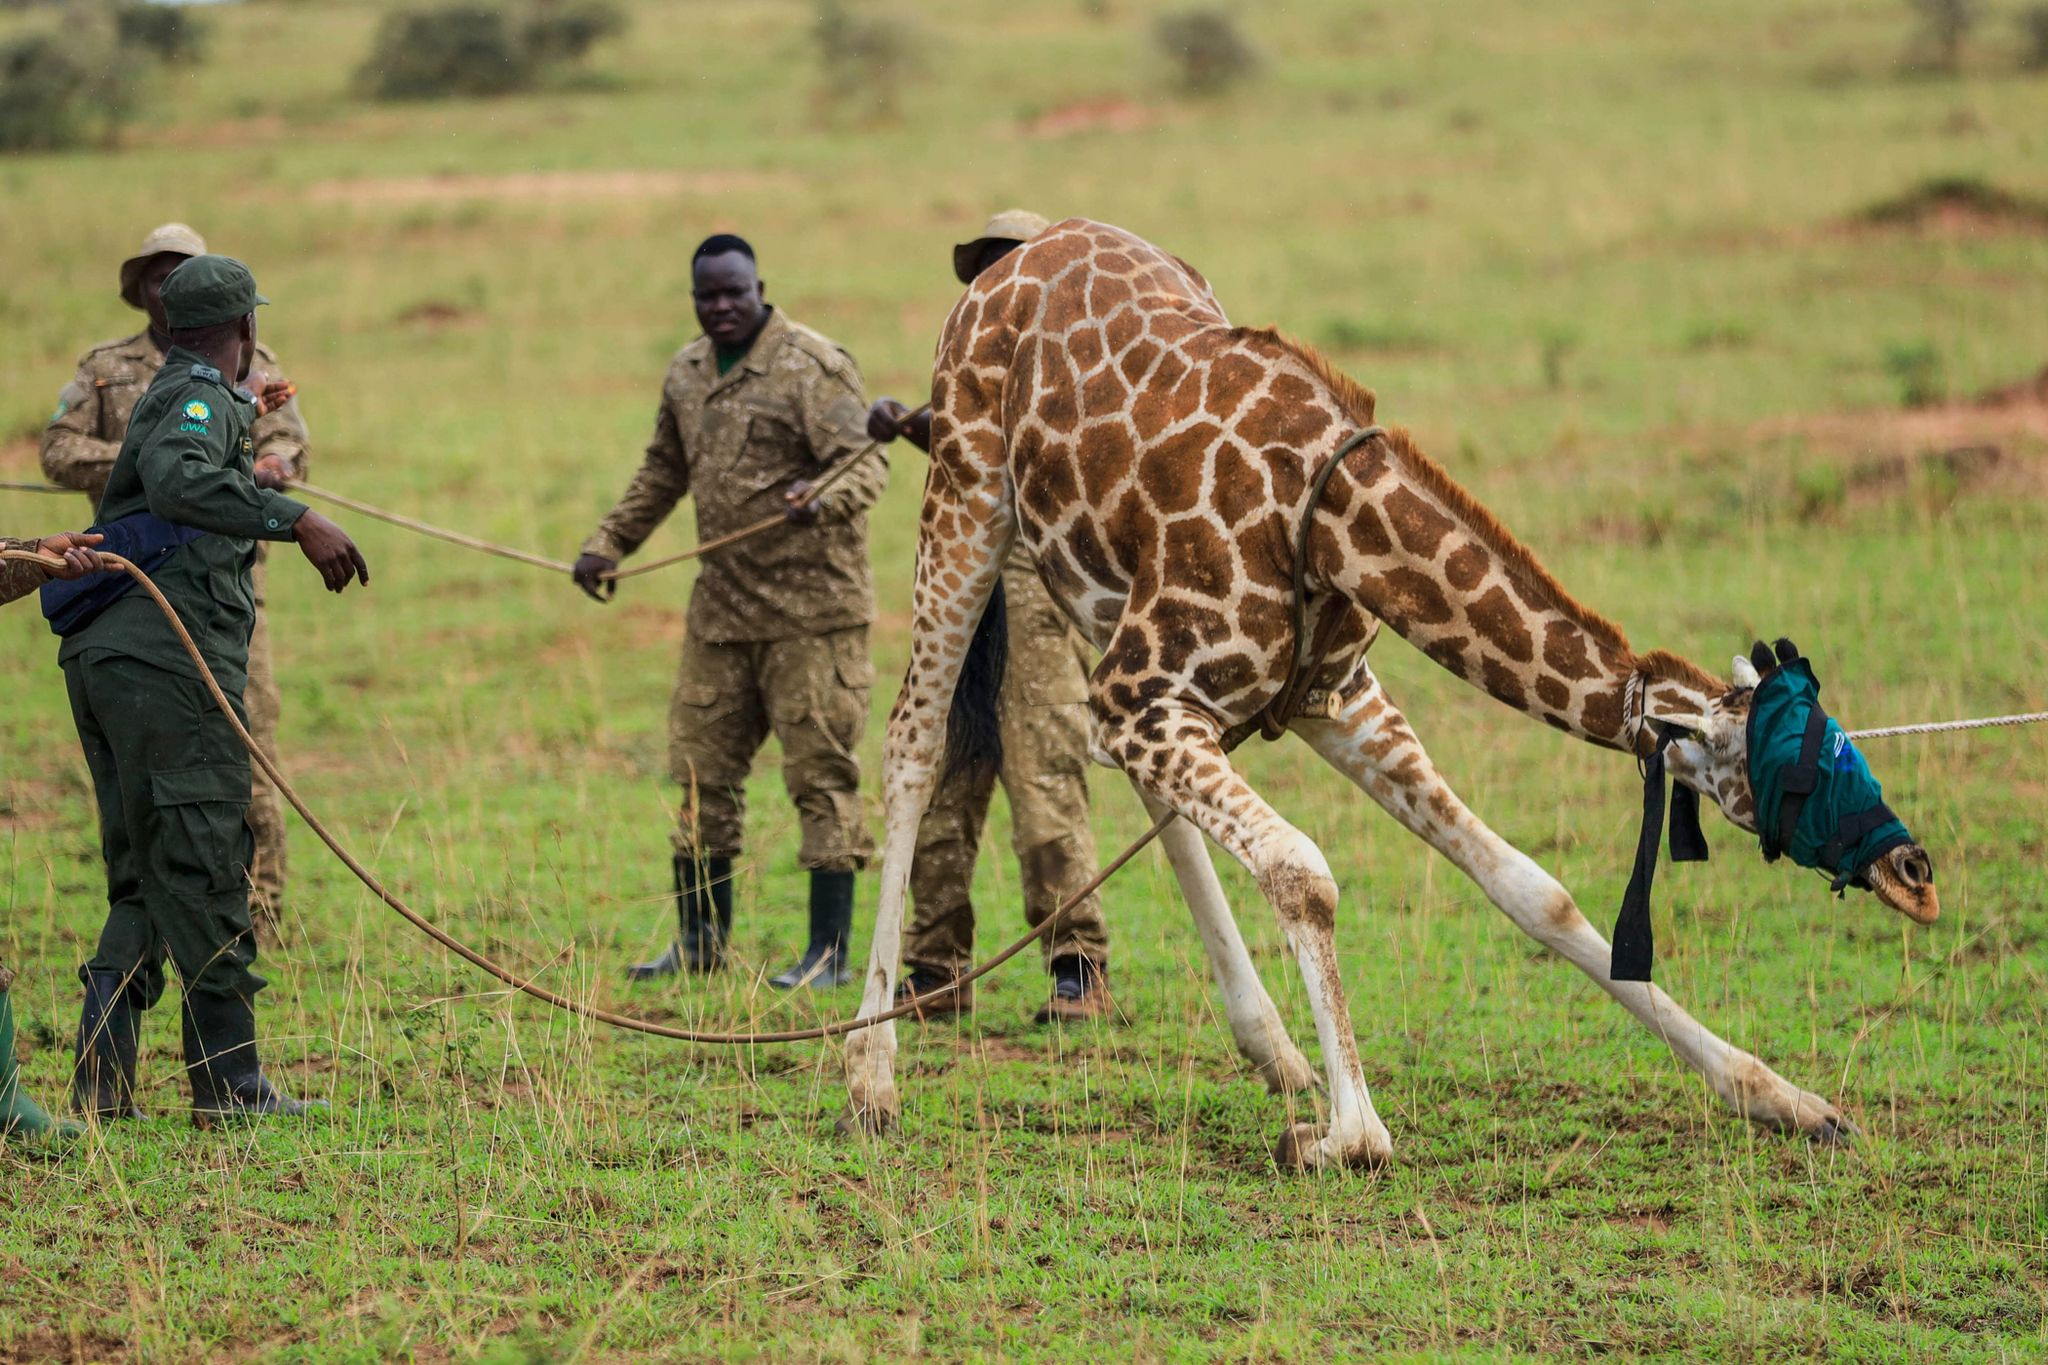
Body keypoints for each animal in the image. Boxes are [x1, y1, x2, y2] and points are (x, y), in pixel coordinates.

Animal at [844, 218, 1940, 1170]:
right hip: (969, 498)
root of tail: (1008, 258)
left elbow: (1533, 890)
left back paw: (1273, 1048)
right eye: (1800, 771)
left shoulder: (1333, 701)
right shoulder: (1149, 693)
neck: (1333, 523)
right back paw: (870, 1073)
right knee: (911, 745)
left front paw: (1788, 1101)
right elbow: (1302, 870)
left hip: (1091, 591)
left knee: (1133, 782)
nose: (1915, 875)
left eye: (1843, 737)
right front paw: (1347, 1133)